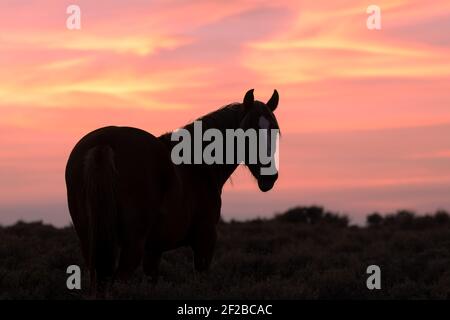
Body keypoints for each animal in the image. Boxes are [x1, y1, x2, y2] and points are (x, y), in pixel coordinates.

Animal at [65, 89, 280, 294]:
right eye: (248, 132)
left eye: (275, 131)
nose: (269, 177)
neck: (198, 166)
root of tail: (103, 144)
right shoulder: (205, 240)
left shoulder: (153, 250)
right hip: (131, 246)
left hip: (90, 243)